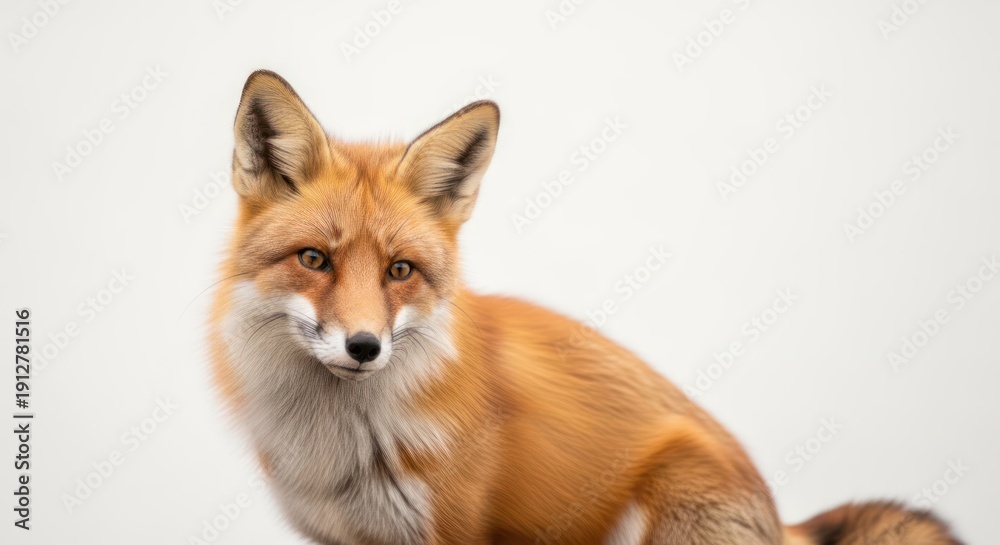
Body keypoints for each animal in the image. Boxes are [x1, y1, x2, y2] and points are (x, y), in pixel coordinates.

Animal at [207, 70, 964, 545]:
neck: (344, 449)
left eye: (400, 271)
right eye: (315, 259)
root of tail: (781, 519)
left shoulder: (455, 529)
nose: (364, 346)